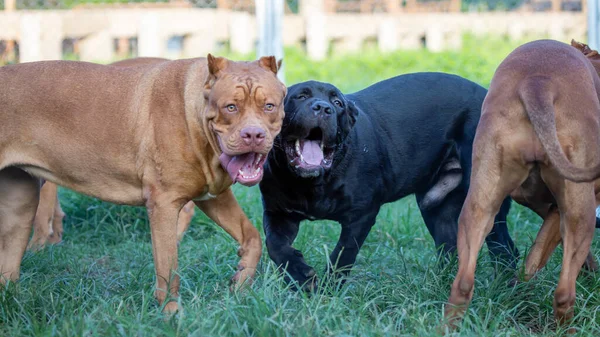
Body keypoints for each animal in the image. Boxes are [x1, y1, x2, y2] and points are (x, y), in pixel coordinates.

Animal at [0, 53, 286, 312]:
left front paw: (241, 281)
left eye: (269, 106)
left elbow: (252, 236)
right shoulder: (164, 204)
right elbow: (168, 271)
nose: (253, 134)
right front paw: (172, 316)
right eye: (231, 107)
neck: (194, 112)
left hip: (20, 208)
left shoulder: (212, 196)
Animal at [260, 73, 516, 286]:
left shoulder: (361, 215)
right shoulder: (278, 213)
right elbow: (275, 246)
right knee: (450, 248)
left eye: (337, 103)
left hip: (484, 204)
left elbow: (342, 255)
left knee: (505, 250)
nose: (323, 108)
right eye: (300, 96)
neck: (312, 184)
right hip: (436, 208)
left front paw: (328, 290)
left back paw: (504, 291)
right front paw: (300, 276)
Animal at [442, 39, 600, 330]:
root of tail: (538, 83)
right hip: (580, 215)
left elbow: (536, 254)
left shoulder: (544, 204)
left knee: (462, 284)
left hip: (479, 206)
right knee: (564, 293)